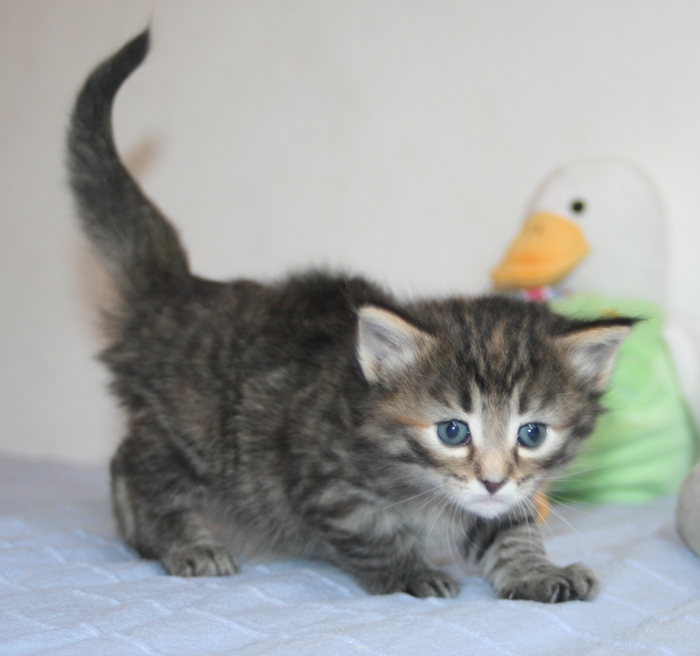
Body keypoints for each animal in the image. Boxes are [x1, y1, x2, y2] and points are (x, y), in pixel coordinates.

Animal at [67, 30, 634, 602]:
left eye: (531, 434)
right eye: (453, 432)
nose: (492, 480)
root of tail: (180, 289)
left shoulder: (499, 501)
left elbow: (509, 528)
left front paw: (537, 571)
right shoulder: (327, 483)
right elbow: (372, 535)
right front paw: (409, 572)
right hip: (190, 431)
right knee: (140, 467)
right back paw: (183, 541)